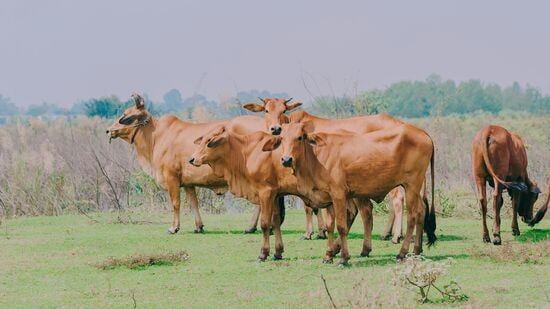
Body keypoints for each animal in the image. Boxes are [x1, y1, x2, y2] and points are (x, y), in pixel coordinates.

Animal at [106, 94, 268, 233]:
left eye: (127, 116)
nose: (108, 131)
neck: (156, 137)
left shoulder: (171, 178)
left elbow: (175, 203)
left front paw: (173, 228)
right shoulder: (188, 183)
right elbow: (193, 203)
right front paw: (198, 227)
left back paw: (252, 227)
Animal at [266, 121, 438, 264]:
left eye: (300, 137)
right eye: (282, 138)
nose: (286, 159)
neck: (316, 157)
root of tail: (423, 133)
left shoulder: (339, 196)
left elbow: (341, 226)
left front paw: (343, 258)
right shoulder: (329, 199)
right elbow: (330, 226)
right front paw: (328, 255)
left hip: (412, 186)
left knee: (412, 217)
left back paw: (402, 253)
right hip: (414, 188)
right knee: (421, 211)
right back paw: (416, 250)